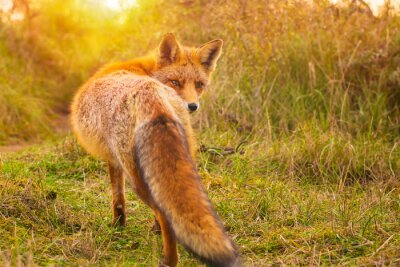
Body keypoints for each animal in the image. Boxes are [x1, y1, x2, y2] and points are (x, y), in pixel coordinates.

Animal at [69, 34, 241, 267]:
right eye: (175, 82)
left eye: (199, 85)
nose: (192, 106)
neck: (147, 71)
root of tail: (151, 93)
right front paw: (148, 228)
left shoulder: (114, 160)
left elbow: (118, 198)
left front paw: (117, 226)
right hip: (181, 160)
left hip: (137, 176)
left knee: (164, 212)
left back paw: (169, 260)